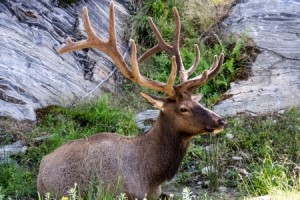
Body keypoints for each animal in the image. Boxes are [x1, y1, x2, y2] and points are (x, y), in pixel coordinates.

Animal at [37, 1, 225, 200]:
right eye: (183, 108)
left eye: (198, 102)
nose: (220, 121)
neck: (150, 176)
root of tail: (43, 162)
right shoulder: (118, 192)